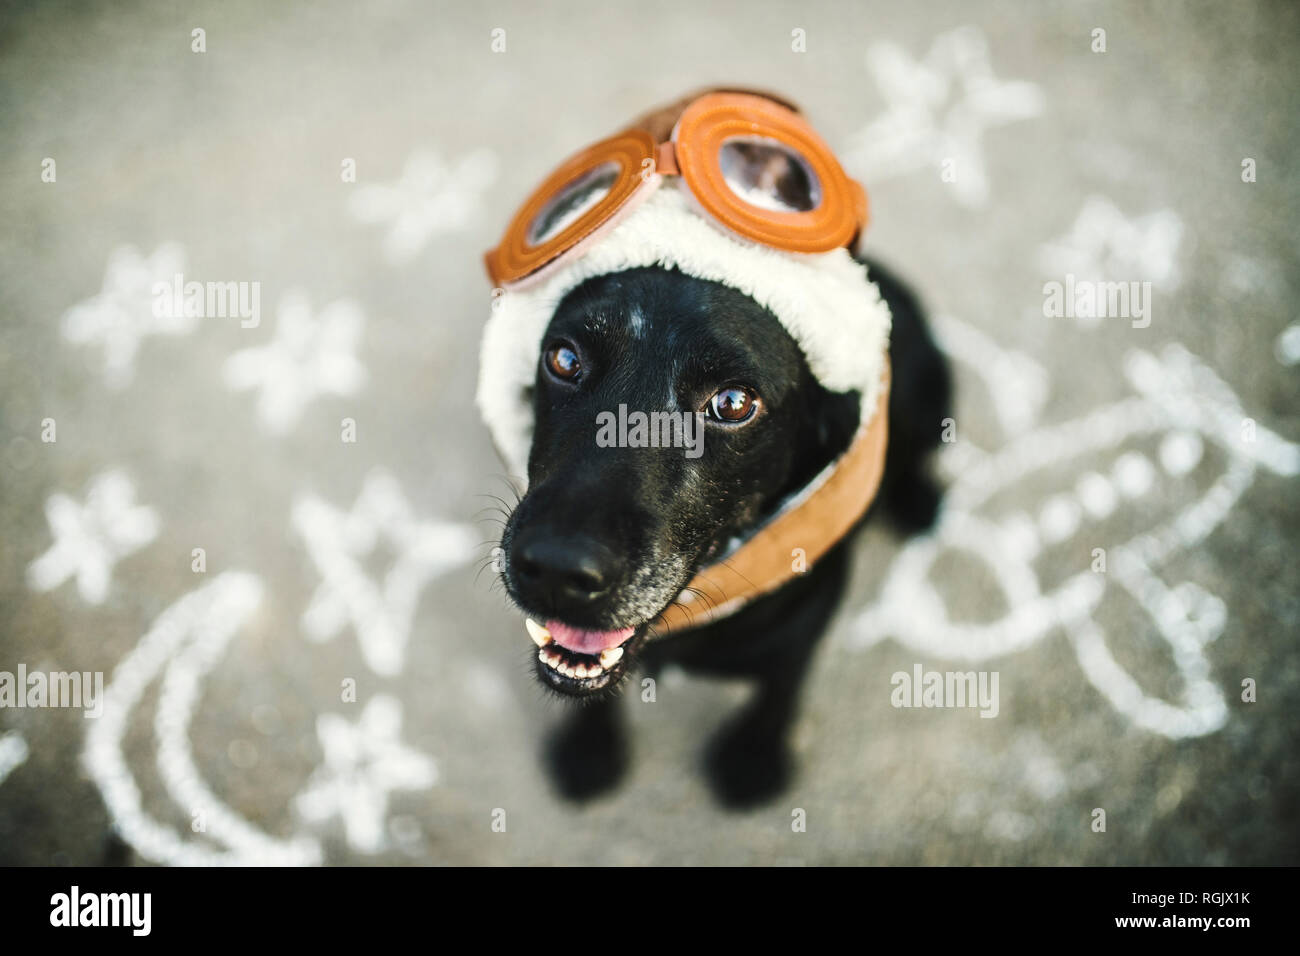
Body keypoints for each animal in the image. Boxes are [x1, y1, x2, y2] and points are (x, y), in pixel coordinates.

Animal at [491, 256, 951, 806]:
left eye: (732, 403)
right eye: (563, 359)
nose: (556, 568)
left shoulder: (807, 619)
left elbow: (780, 688)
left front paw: (754, 759)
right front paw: (591, 750)